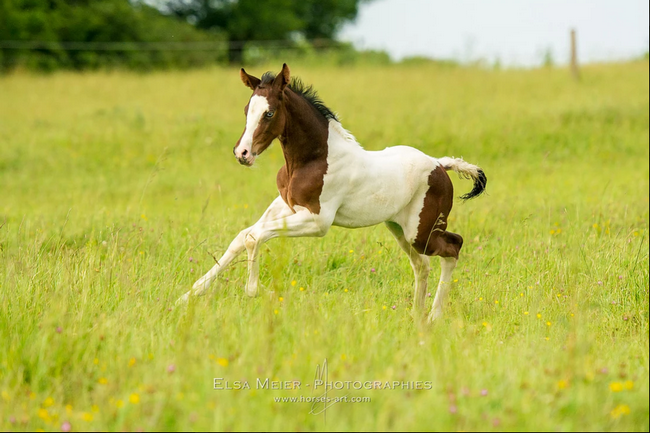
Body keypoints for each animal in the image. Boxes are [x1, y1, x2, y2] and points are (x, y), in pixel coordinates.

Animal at [178, 63, 486, 320]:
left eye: (269, 113)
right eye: (246, 110)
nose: (242, 154)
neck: (312, 160)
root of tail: (441, 165)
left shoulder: (318, 221)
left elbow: (254, 237)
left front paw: (259, 292)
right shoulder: (285, 206)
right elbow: (243, 236)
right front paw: (188, 295)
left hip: (421, 232)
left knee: (454, 246)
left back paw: (433, 316)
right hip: (399, 229)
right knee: (422, 265)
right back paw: (416, 315)